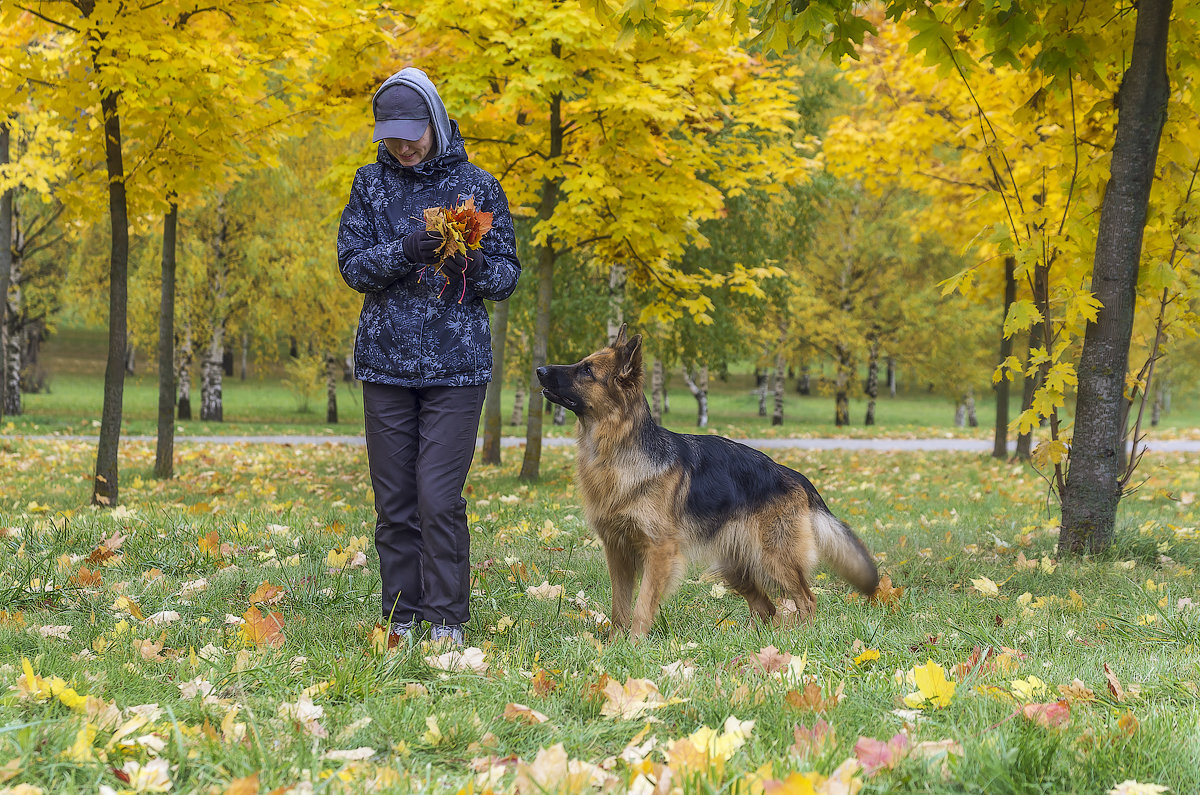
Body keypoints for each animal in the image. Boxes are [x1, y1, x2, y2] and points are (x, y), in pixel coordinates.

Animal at [540, 326, 878, 638]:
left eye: (586, 370)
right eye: (581, 363)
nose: (539, 370)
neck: (617, 450)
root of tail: (794, 475)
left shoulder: (659, 552)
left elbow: (642, 605)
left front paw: (634, 644)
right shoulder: (618, 552)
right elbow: (619, 607)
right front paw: (614, 646)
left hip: (774, 560)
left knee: (806, 600)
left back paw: (795, 639)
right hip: (735, 568)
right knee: (766, 607)